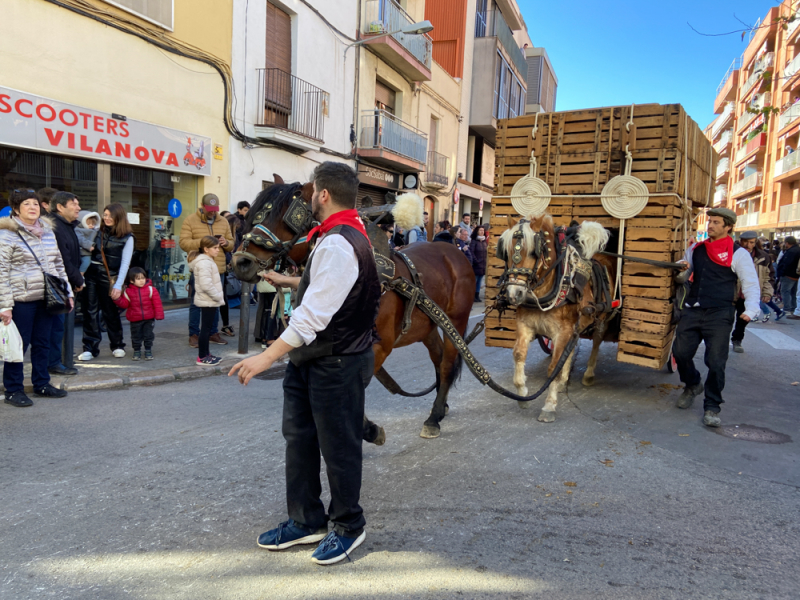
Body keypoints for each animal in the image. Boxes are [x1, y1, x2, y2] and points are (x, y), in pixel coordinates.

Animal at [230, 180, 476, 438]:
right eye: (255, 214)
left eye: (286, 217)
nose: (241, 262)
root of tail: (454, 253)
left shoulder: (379, 347)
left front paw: (366, 428)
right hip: (426, 327)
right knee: (438, 358)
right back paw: (441, 404)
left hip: (455, 322)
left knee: (447, 363)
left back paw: (434, 416)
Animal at [500, 213, 620, 424]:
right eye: (506, 252)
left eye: (534, 252)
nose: (514, 294)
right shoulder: (525, 325)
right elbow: (519, 355)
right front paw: (522, 393)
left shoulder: (562, 331)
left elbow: (553, 366)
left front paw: (549, 405)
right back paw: (564, 379)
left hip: (601, 319)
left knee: (596, 341)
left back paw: (588, 374)